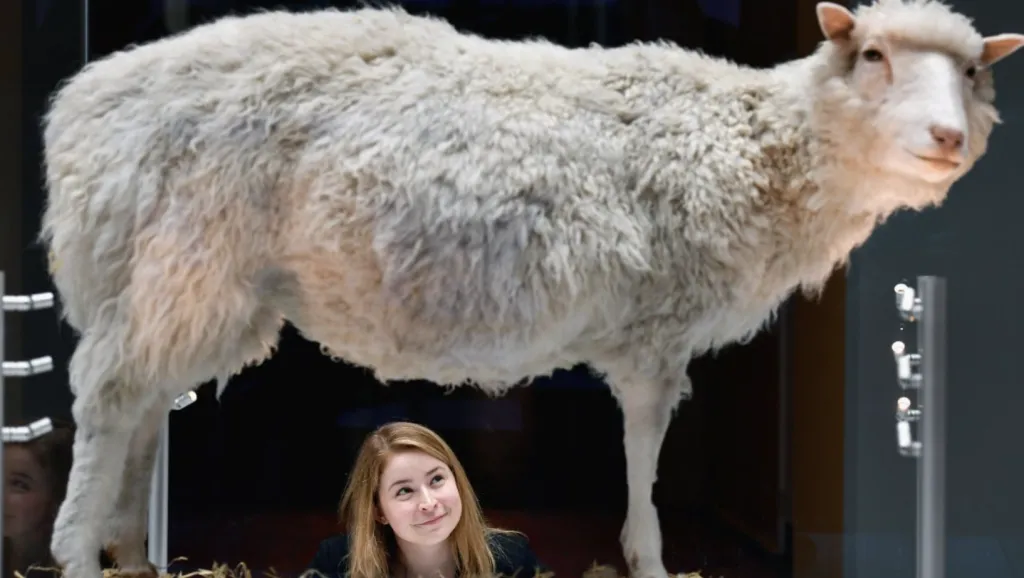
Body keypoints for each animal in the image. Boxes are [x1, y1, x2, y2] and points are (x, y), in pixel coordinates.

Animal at [38, 1, 1022, 577]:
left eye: (974, 72)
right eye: (874, 55)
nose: (946, 137)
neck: (753, 146)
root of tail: (82, 105)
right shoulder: (656, 326)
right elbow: (643, 449)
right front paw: (648, 559)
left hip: (171, 282)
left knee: (143, 405)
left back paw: (129, 550)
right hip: (188, 260)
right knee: (111, 399)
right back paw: (77, 551)